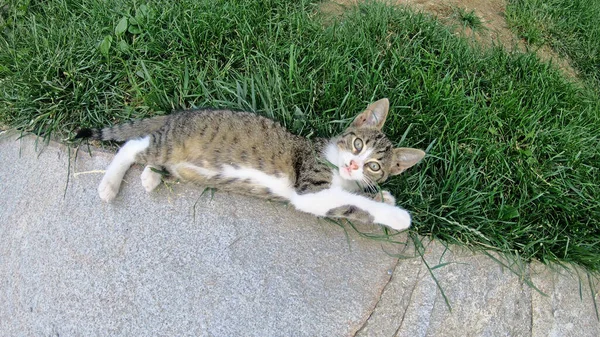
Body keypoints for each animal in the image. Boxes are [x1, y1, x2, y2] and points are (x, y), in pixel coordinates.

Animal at [75, 98, 424, 231]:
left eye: (375, 166)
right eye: (358, 144)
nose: (353, 164)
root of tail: (178, 115)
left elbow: (357, 198)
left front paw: (384, 196)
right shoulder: (311, 190)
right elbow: (353, 203)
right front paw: (397, 215)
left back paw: (151, 178)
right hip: (170, 144)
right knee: (133, 146)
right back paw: (109, 184)